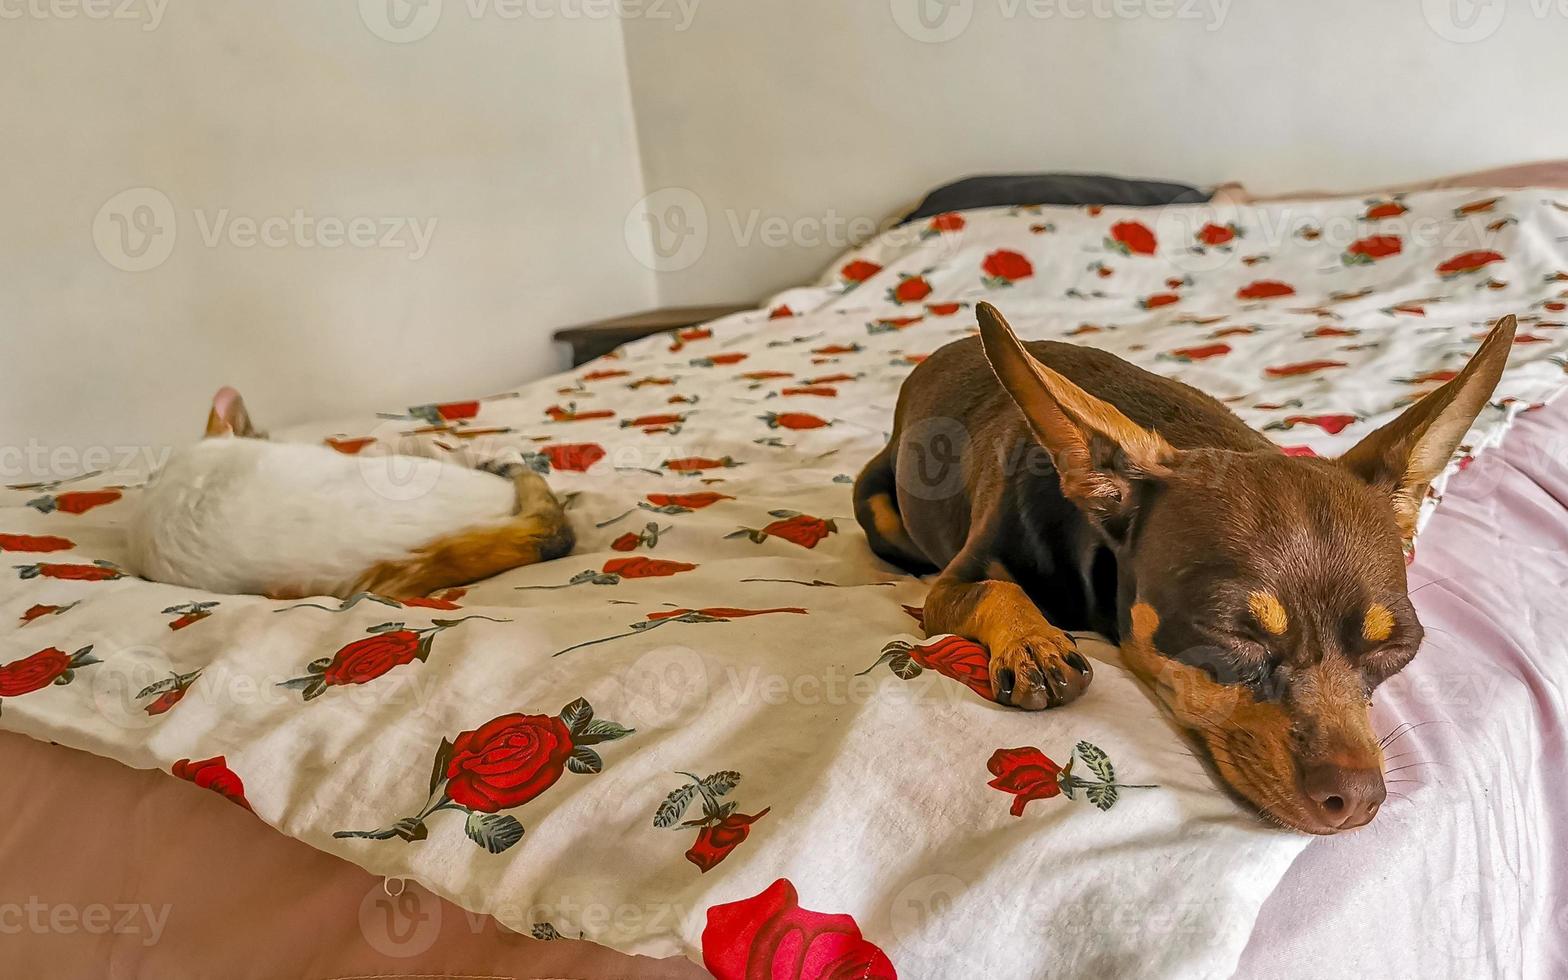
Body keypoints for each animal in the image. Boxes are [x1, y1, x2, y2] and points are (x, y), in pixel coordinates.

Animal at [859, 302, 1517, 827]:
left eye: (1397, 649)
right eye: (1231, 633)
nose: (1356, 798)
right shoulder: (953, 585)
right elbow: (997, 588)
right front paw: (1033, 642)